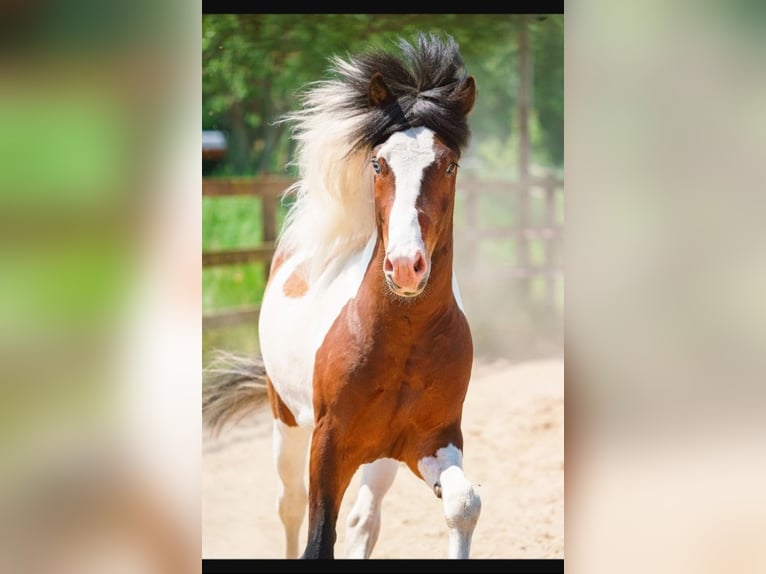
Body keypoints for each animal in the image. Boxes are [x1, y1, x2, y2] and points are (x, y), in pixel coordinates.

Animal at [204, 32, 480, 564]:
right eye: (378, 163)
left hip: (381, 458)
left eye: (449, 164)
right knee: (290, 508)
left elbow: (463, 504)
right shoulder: (328, 445)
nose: (405, 266)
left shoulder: (433, 441)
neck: (403, 337)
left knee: (363, 521)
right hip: (287, 423)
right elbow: (317, 540)